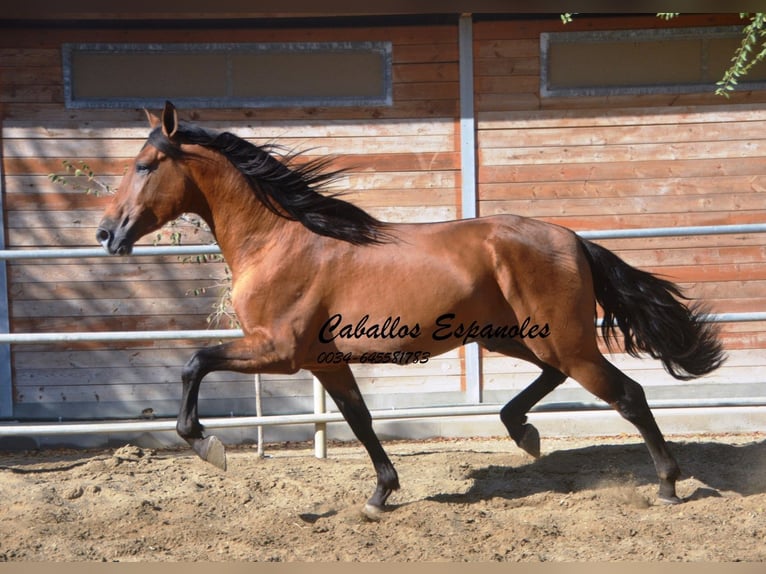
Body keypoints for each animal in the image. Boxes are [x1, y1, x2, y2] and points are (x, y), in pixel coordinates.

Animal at [96, 101, 728, 520]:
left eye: (146, 165)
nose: (106, 234)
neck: (278, 240)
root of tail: (573, 239)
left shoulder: (277, 350)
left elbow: (195, 362)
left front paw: (208, 446)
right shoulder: (324, 361)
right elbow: (359, 421)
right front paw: (380, 495)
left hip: (562, 339)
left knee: (628, 395)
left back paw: (667, 486)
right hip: (514, 335)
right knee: (555, 377)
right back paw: (522, 432)